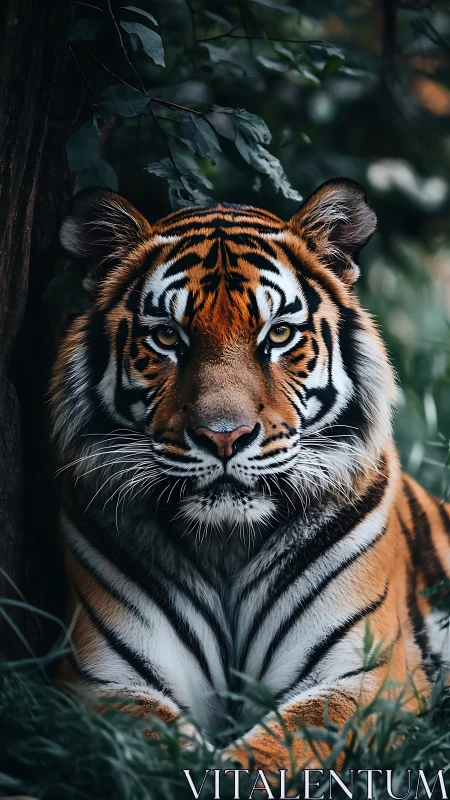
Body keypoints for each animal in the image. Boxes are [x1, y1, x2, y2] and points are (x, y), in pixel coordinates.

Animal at [51, 179, 450, 772]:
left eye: (278, 334)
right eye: (167, 337)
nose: (223, 436)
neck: (227, 545)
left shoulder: (367, 675)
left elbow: (279, 745)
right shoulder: (103, 680)